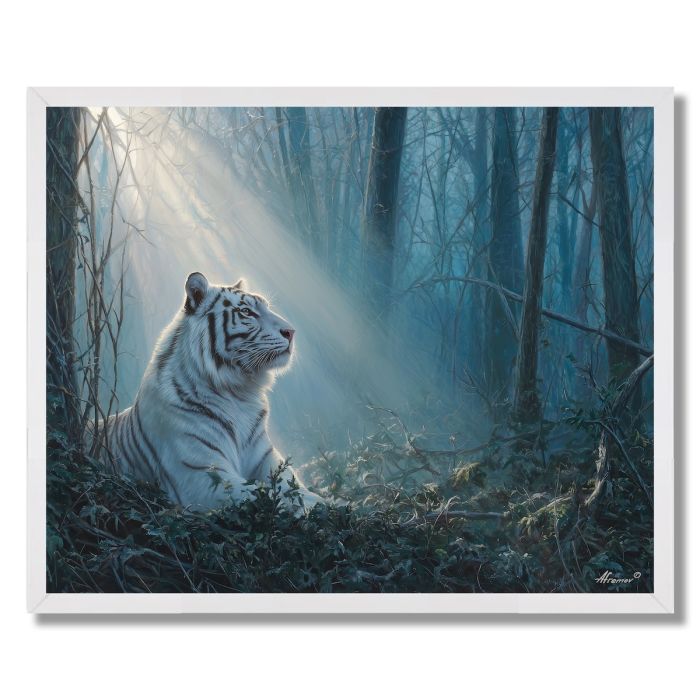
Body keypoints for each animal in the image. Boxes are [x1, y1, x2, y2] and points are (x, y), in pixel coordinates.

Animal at [90, 271, 323, 512]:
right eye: (246, 312)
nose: (291, 332)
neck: (239, 392)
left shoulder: (266, 458)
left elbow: (296, 489)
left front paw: (323, 504)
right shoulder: (201, 475)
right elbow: (259, 495)